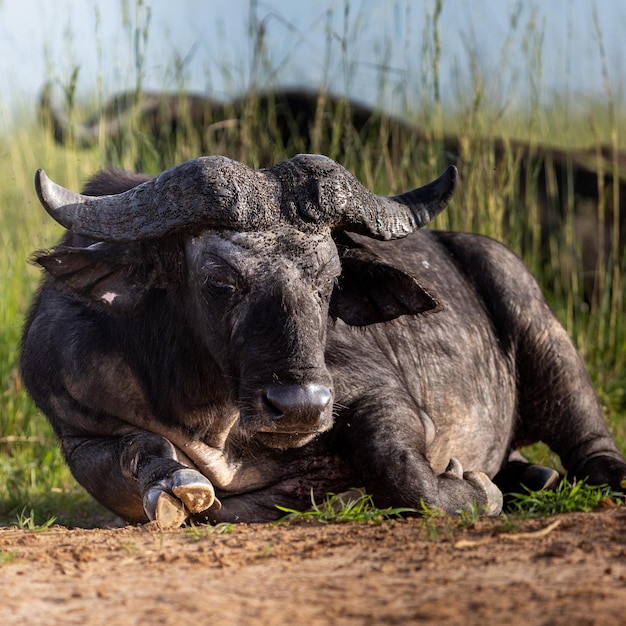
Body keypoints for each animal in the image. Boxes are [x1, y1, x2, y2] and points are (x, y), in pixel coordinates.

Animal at [20, 154, 624, 524]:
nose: (301, 407)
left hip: (534, 316)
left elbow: (399, 466)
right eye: (220, 283)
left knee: (588, 438)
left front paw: (474, 488)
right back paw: (533, 475)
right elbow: (142, 454)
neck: (217, 417)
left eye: (331, 282)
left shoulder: (382, 394)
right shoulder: (78, 429)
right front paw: (174, 482)